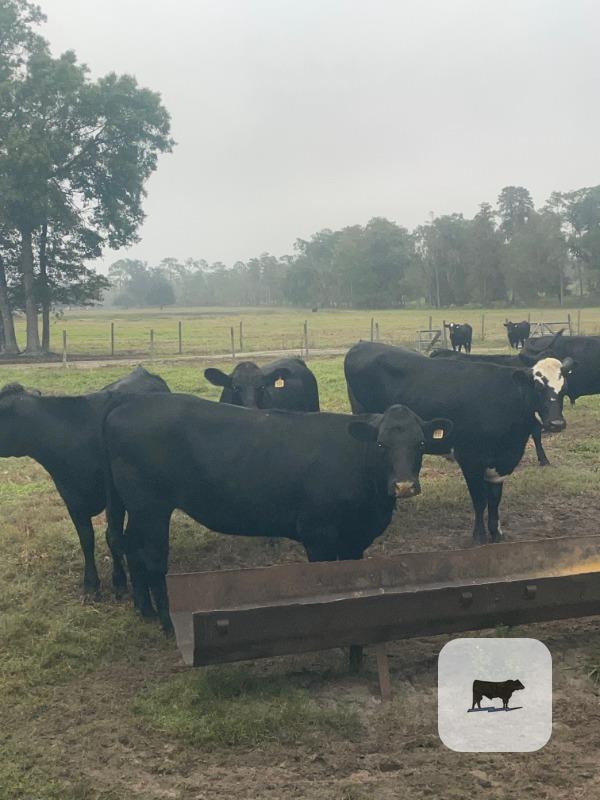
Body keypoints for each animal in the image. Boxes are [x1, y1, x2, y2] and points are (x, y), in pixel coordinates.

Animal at [0, 366, 170, 597]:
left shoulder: (113, 496)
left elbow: (112, 536)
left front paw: (119, 581)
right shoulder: (70, 496)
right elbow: (86, 538)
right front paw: (91, 583)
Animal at [102, 395, 453, 631]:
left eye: (421, 444)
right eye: (381, 445)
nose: (404, 485)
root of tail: (124, 408)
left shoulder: (355, 539)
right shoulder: (318, 534)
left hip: (137, 508)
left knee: (130, 545)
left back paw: (145, 610)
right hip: (151, 508)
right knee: (153, 557)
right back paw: (166, 621)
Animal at [344, 342, 571, 544]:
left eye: (564, 388)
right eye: (538, 386)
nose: (556, 423)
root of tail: (363, 344)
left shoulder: (501, 461)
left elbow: (494, 499)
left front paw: (496, 533)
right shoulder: (470, 459)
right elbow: (480, 500)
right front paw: (479, 536)